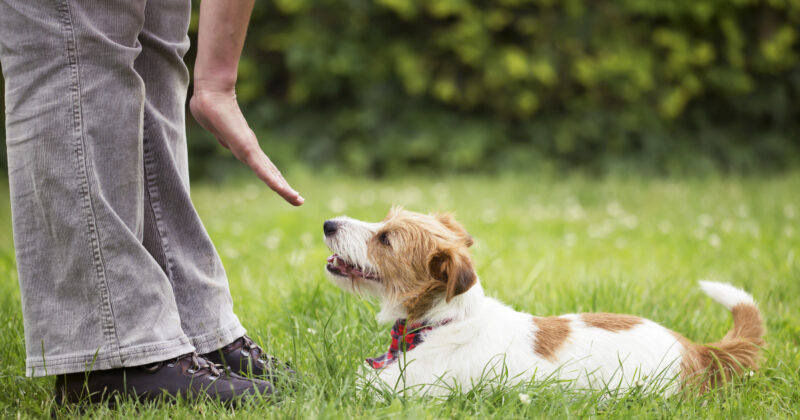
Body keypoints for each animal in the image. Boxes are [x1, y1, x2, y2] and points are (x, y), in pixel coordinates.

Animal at [322, 208, 764, 396]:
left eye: (385, 239)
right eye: (383, 221)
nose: (327, 223)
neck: (442, 322)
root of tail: (696, 350)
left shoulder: (410, 390)